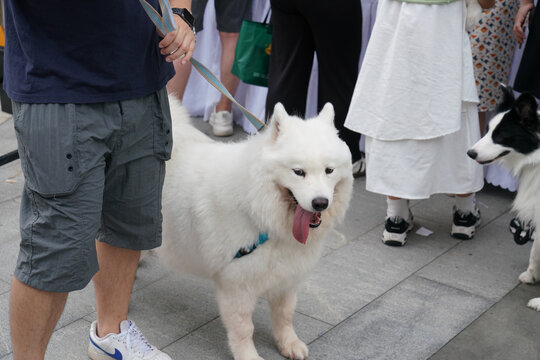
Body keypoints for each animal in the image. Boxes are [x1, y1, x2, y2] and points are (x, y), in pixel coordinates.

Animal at [159, 96, 354, 360]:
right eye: (298, 172)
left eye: (329, 170)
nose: (320, 203)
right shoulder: (236, 284)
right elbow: (244, 328)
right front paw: (248, 355)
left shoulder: (286, 278)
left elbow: (285, 315)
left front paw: (288, 344)